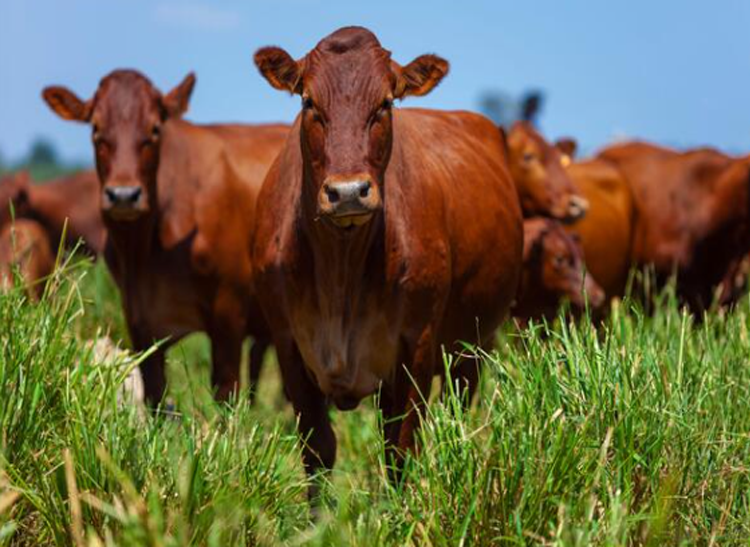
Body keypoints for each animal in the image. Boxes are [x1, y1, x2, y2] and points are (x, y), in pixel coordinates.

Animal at [42, 70, 288, 404]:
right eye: (95, 129)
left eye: (155, 129)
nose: (123, 195)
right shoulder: (140, 320)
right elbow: (154, 392)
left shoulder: (229, 309)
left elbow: (226, 390)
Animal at [251, 26, 523, 494]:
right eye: (309, 102)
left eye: (384, 103)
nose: (347, 192)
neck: (340, 271)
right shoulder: (289, 346)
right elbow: (317, 450)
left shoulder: (417, 345)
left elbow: (402, 451)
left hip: (472, 348)